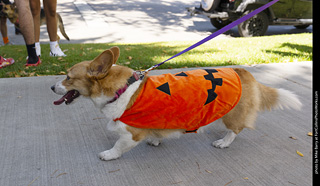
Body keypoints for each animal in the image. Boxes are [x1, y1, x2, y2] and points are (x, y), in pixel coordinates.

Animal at [51, 46, 302, 161]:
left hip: (232, 116)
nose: (52, 88)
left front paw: (109, 154)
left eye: (68, 77)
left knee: (236, 129)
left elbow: (118, 146)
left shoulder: (130, 134)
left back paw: (223, 142)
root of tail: (243, 72)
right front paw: (155, 140)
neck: (121, 89)